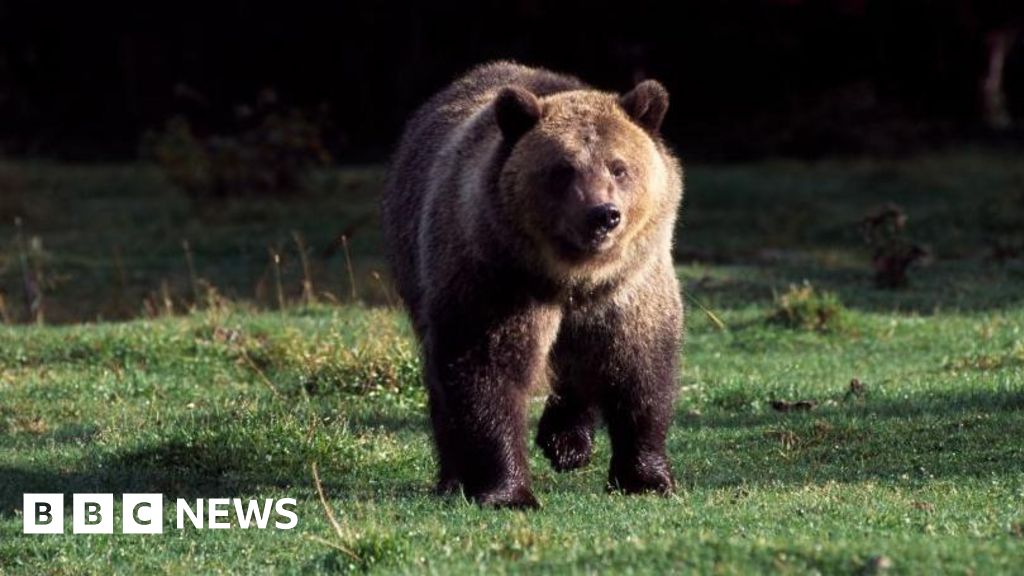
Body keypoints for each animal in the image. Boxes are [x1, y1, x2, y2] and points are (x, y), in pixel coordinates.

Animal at [380, 61, 684, 509]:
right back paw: (453, 476)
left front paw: (646, 478)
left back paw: (567, 442)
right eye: (563, 169)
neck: (574, 276)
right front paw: (508, 491)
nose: (603, 215)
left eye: (619, 166)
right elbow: (488, 371)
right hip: (418, 266)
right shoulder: (497, 280)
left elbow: (639, 369)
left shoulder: (630, 287)